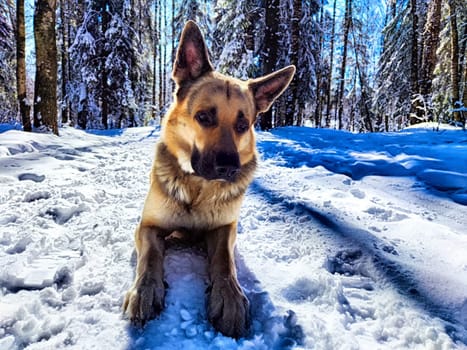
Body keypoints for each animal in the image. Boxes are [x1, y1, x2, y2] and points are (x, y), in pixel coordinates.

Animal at [122, 20, 294, 338]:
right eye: (204, 117)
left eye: (243, 124)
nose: (229, 168)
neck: (197, 188)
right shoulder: (148, 226)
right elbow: (150, 257)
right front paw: (145, 291)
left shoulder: (224, 228)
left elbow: (225, 263)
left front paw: (230, 297)